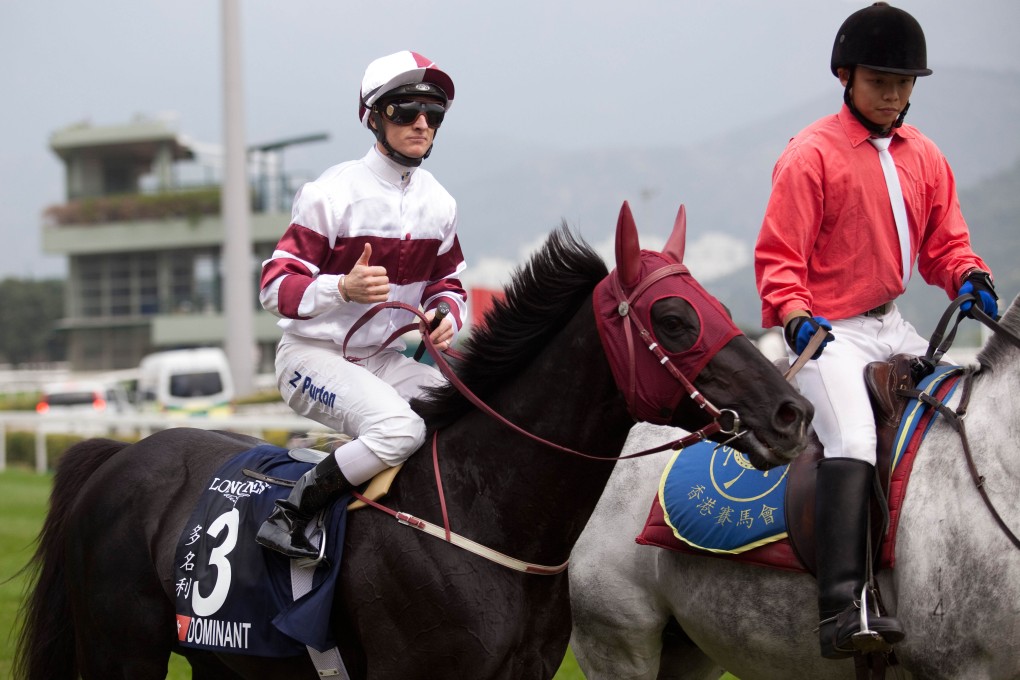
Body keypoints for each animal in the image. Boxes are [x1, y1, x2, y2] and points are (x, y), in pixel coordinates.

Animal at [17, 203, 811, 680]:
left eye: (718, 305)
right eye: (675, 319)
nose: (791, 414)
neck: (488, 517)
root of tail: (121, 455)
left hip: (224, 657)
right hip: (122, 648)